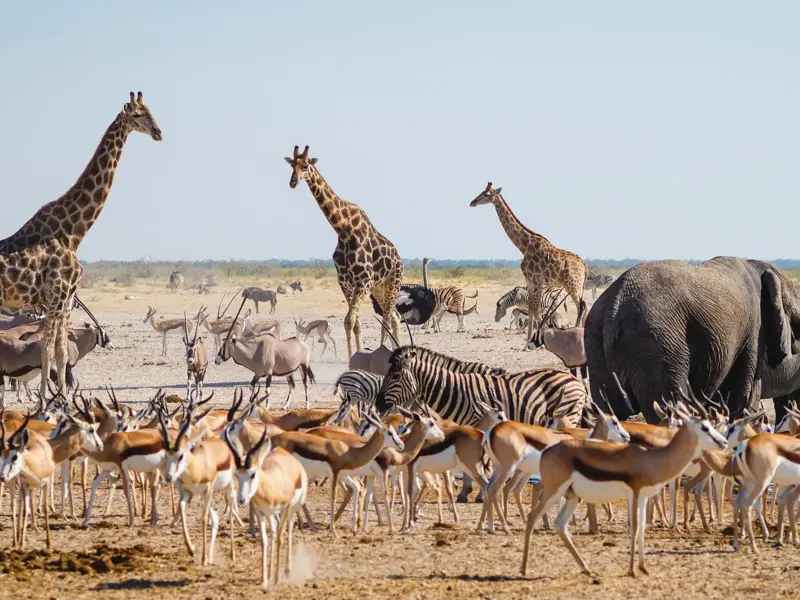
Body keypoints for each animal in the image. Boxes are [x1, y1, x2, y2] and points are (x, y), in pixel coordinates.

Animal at [375, 345, 587, 501]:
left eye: (395, 376)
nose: (377, 404)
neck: (455, 391)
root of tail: (574, 379)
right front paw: (466, 491)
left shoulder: (479, 422)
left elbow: (480, 461)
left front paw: (478, 493)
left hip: (568, 414)